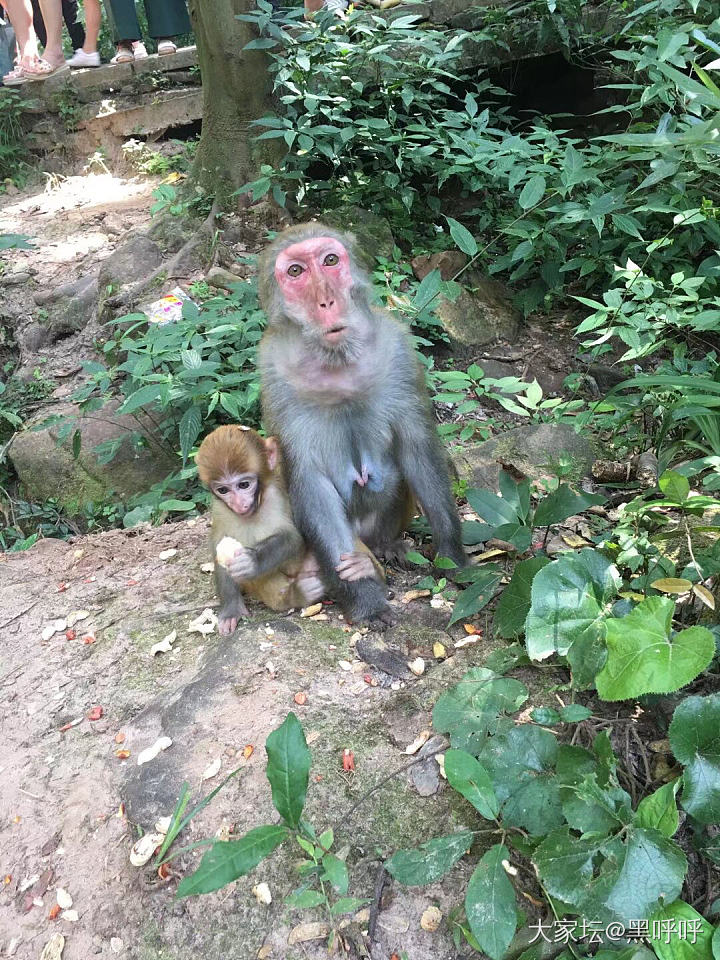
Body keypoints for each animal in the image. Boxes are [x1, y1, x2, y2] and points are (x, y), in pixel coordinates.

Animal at [191, 424, 382, 632]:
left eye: (244, 485)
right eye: (223, 490)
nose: (239, 504)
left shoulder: (274, 496)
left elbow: (292, 537)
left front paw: (252, 561)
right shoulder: (220, 509)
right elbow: (219, 550)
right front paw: (231, 609)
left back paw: (365, 568)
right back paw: (296, 595)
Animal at [258, 225, 466, 632]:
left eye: (330, 261)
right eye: (295, 272)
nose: (327, 301)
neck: (337, 359)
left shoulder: (398, 349)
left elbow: (416, 448)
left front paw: (452, 556)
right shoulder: (276, 375)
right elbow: (311, 483)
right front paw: (365, 597)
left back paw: (388, 545)